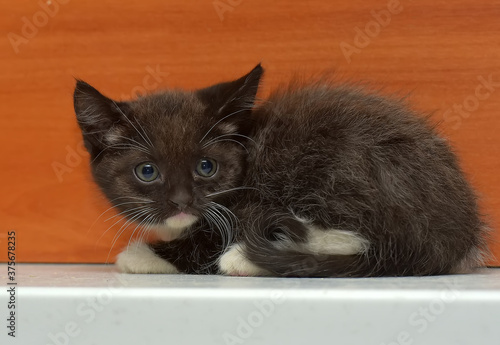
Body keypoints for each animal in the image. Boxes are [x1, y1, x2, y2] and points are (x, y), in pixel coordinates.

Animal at [74, 63, 488, 274]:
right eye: (147, 171)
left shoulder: (246, 205)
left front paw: (142, 255)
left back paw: (246, 258)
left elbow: (205, 243)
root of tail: (457, 233)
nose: (181, 202)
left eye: (206, 166)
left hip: (339, 159)